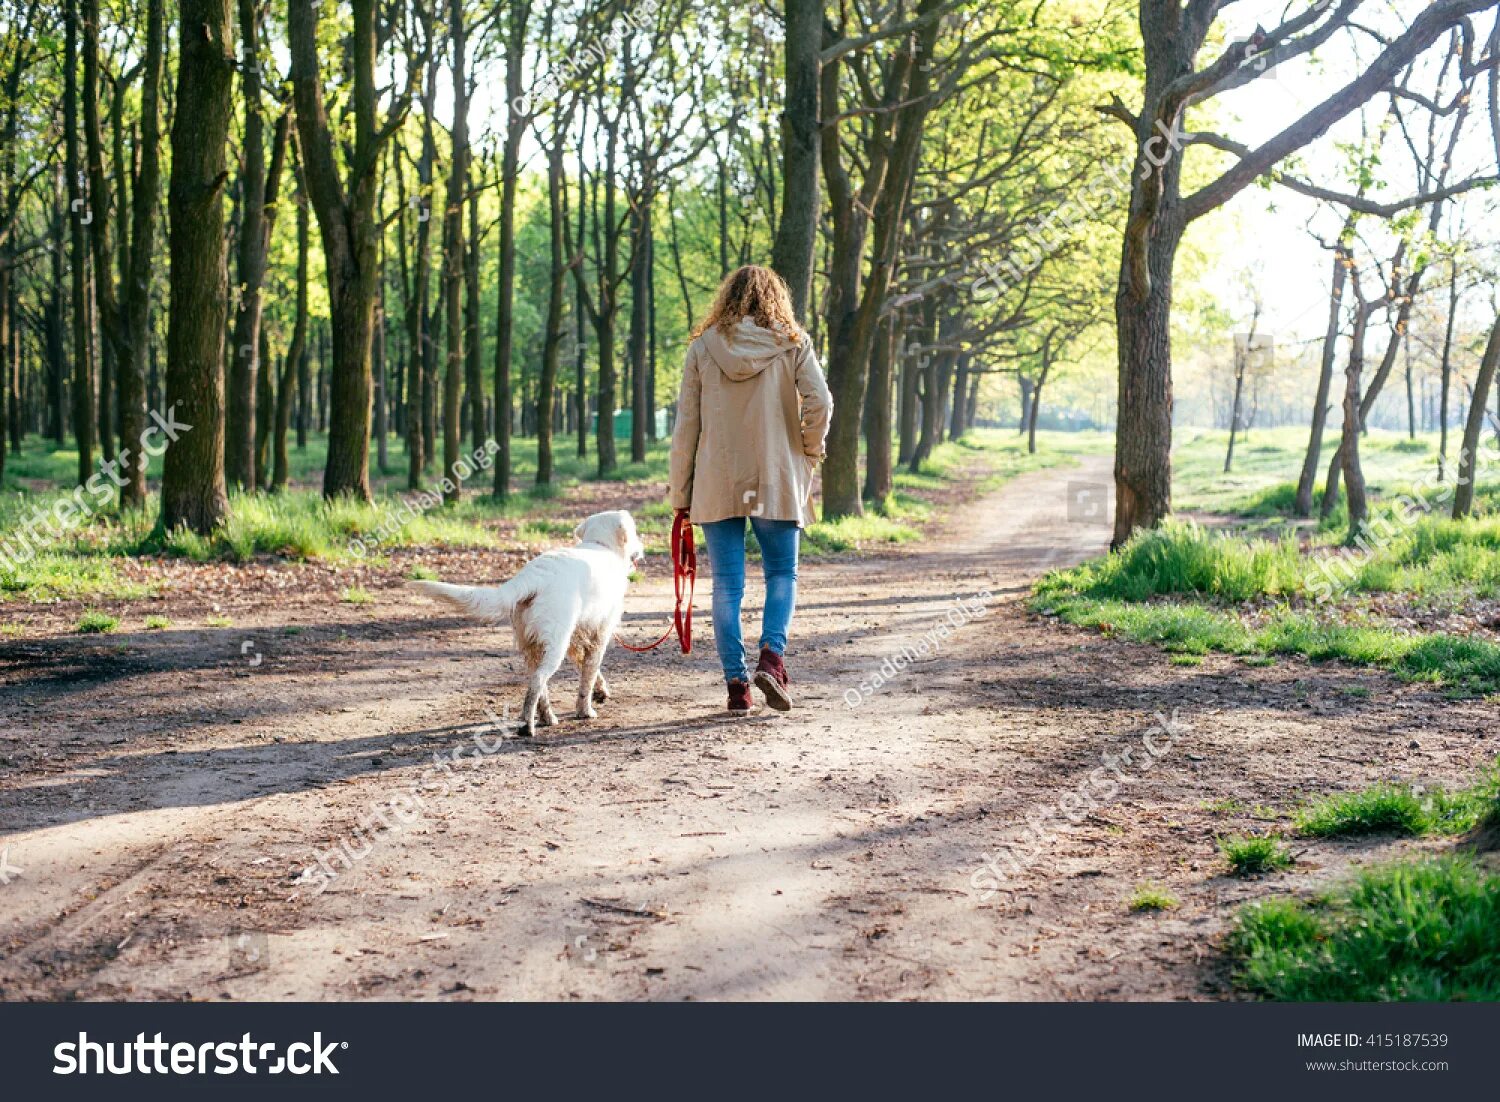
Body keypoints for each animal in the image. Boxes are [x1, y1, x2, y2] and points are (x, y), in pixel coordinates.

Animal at [411, 509, 645, 737]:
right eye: (634, 532)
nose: (642, 549)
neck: (601, 545)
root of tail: (533, 576)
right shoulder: (600, 634)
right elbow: (588, 674)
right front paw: (585, 711)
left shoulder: (577, 638)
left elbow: (588, 669)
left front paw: (600, 691)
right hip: (555, 644)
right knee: (538, 682)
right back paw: (527, 726)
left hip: (532, 643)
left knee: (537, 684)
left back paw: (546, 717)